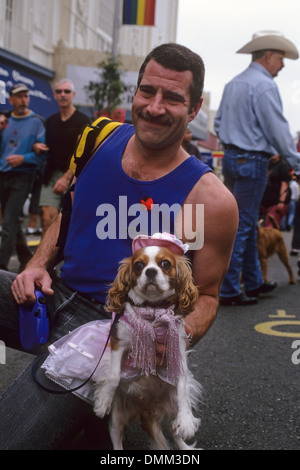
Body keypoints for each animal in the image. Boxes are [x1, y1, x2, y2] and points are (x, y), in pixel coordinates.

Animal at [94, 235, 202, 452]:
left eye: (165, 264)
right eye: (138, 265)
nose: (150, 271)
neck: (153, 311)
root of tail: (147, 406)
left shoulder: (177, 350)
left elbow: (183, 387)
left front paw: (187, 421)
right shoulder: (119, 342)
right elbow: (114, 376)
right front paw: (103, 401)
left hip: (172, 405)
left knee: (175, 430)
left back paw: (185, 446)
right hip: (117, 419)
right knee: (117, 439)